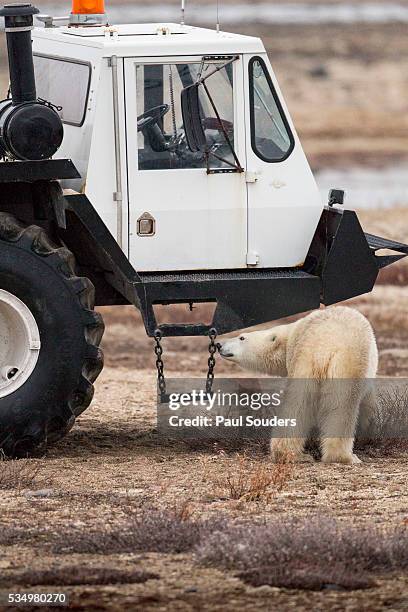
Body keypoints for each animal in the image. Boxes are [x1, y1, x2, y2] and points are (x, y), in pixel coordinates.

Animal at [218, 306, 378, 464]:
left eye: (242, 337)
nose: (219, 345)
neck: (290, 334)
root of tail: (323, 346)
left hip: (311, 362)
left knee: (300, 403)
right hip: (341, 364)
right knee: (340, 405)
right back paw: (342, 456)